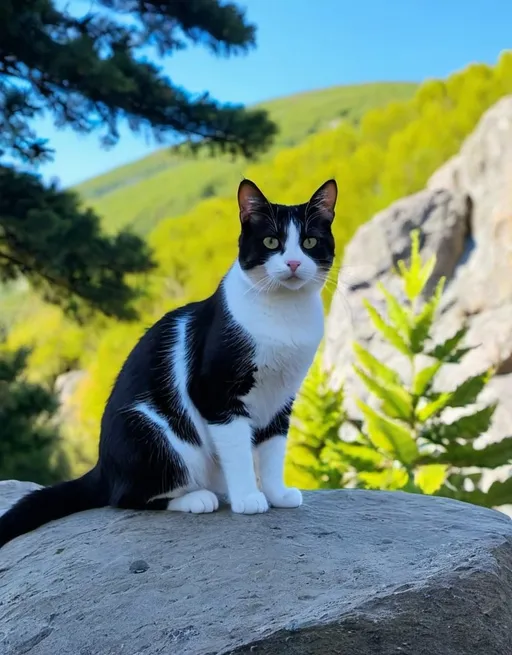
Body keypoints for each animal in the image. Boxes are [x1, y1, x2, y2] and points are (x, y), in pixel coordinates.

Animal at [0, 176, 336, 548]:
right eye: (271, 241)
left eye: (309, 242)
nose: (293, 264)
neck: (284, 316)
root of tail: (103, 467)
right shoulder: (214, 391)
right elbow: (238, 450)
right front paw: (249, 498)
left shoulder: (281, 396)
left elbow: (274, 449)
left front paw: (277, 494)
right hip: (151, 432)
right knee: (126, 497)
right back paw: (197, 498)